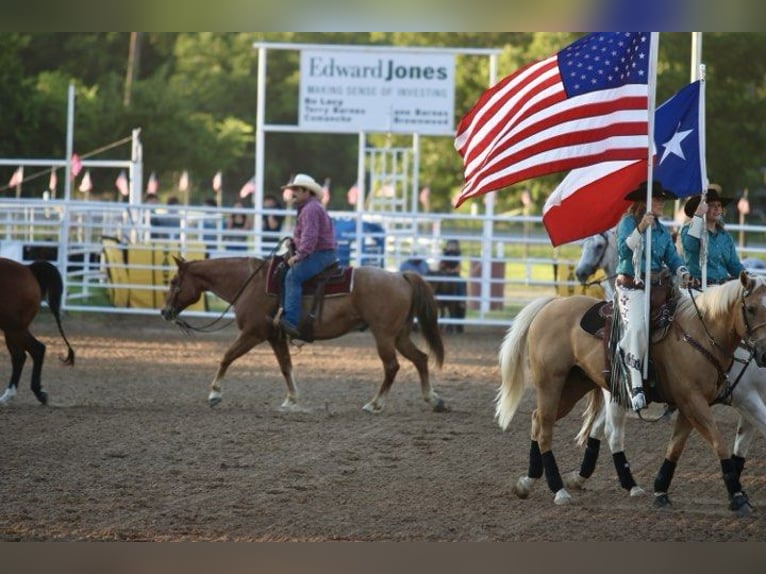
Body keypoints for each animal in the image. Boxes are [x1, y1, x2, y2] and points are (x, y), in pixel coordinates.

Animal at [163, 256, 450, 414]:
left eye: (174, 282)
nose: (165, 311)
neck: (251, 283)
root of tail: (401, 276)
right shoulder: (275, 337)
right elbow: (285, 367)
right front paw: (291, 400)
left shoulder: (253, 333)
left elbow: (227, 356)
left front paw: (215, 394)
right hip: (398, 335)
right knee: (421, 358)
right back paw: (433, 399)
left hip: (384, 336)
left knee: (392, 367)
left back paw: (374, 404)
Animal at [496, 272, 766, 516]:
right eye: (751, 309)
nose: (764, 354)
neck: (698, 334)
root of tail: (552, 304)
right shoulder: (699, 401)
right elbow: (720, 444)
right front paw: (738, 497)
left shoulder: (691, 405)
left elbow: (675, 447)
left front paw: (661, 491)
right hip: (551, 384)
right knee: (548, 430)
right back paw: (559, 490)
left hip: (573, 388)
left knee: (538, 420)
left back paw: (528, 482)